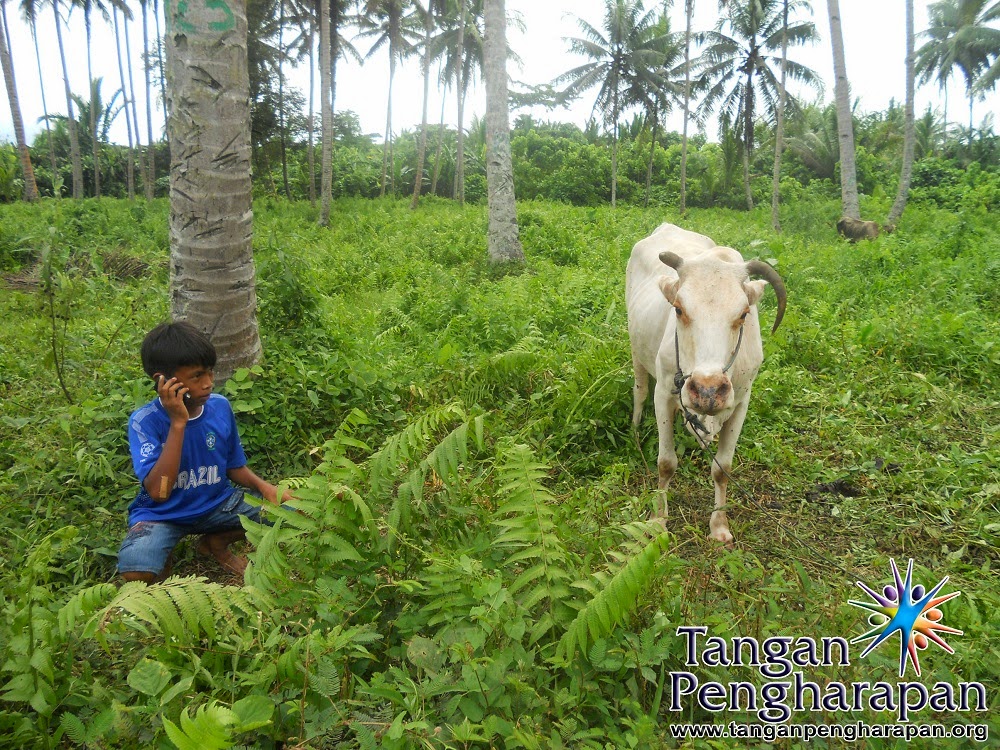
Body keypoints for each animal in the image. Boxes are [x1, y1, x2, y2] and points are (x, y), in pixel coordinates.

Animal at [624, 223, 788, 548]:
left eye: (743, 314)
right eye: (678, 309)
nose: (707, 390)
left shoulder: (740, 403)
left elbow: (722, 468)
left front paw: (719, 526)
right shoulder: (664, 395)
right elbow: (666, 463)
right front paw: (658, 521)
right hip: (637, 351)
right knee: (639, 390)